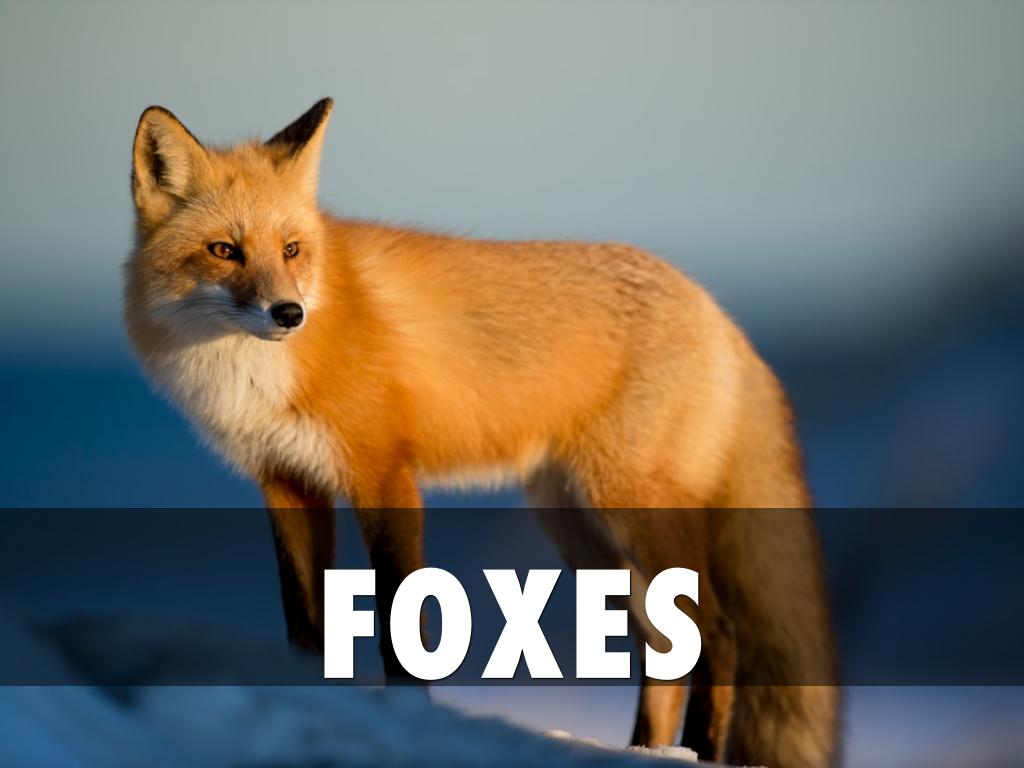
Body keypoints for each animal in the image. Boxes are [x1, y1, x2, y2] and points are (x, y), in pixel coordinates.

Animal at [124, 98, 839, 767]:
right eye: (225, 250)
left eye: (292, 250)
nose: (289, 313)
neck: (256, 374)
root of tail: (717, 312)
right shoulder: (288, 484)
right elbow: (305, 628)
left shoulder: (384, 475)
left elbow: (400, 626)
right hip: (584, 533)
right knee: (665, 650)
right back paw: (647, 752)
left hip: (632, 511)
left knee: (719, 635)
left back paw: (703, 753)